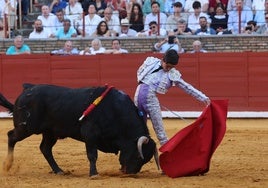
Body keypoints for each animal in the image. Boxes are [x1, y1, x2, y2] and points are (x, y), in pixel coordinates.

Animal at [0, 84, 158, 177]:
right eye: (138, 156)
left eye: (146, 160)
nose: (130, 173)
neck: (114, 110)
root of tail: (27, 89)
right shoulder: (90, 134)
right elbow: (92, 155)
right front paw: (94, 174)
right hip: (27, 127)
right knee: (11, 136)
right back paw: (8, 165)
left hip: (50, 132)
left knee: (45, 148)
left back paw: (59, 170)